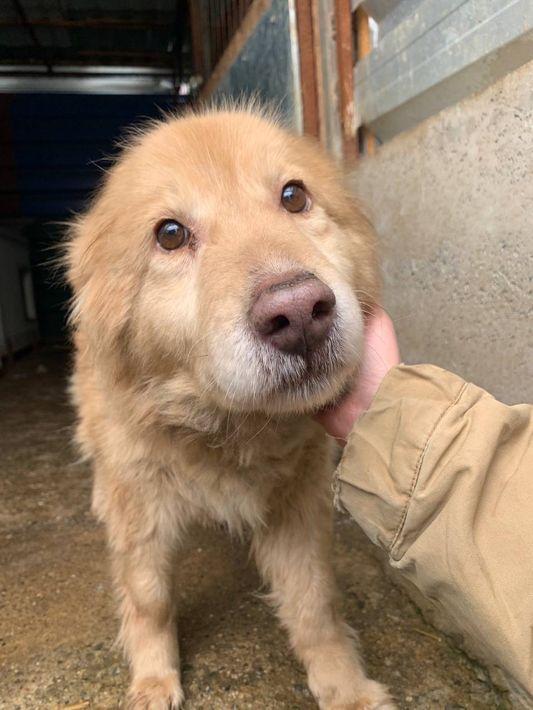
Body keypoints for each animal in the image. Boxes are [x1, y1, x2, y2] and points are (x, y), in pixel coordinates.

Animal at [66, 105, 394, 709]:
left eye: (294, 196)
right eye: (170, 234)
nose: (298, 312)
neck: (226, 426)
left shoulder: (298, 503)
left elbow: (313, 602)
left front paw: (344, 686)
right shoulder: (137, 504)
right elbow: (149, 597)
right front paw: (153, 679)